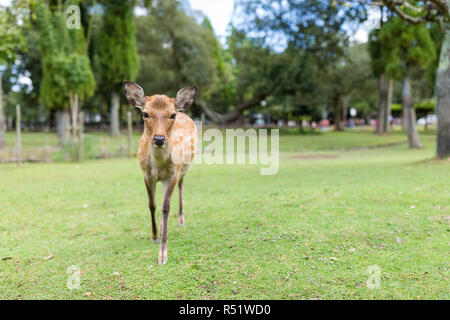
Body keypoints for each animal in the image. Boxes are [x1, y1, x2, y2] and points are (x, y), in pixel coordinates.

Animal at [123, 80, 197, 264]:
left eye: (172, 115)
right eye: (145, 113)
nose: (159, 139)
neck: (158, 165)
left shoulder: (173, 173)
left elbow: (166, 207)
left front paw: (163, 255)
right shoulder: (146, 175)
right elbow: (153, 204)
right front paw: (155, 236)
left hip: (185, 166)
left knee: (181, 187)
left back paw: (180, 219)